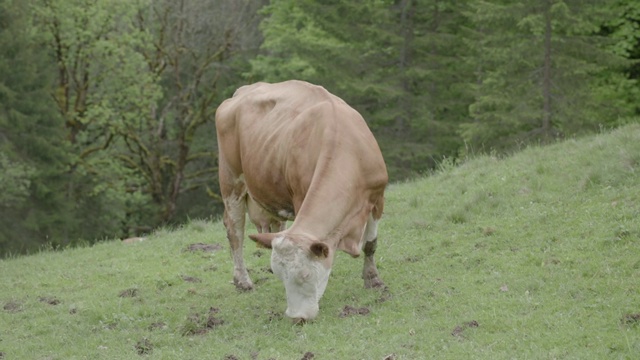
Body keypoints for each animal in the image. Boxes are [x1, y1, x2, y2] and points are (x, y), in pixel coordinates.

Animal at [215, 80, 388, 322]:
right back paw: (243, 281)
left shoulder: (377, 195)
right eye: (283, 277)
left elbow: (371, 243)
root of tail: (244, 90)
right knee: (235, 233)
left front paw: (373, 279)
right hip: (231, 182)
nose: (297, 317)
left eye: (305, 275)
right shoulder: (300, 197)